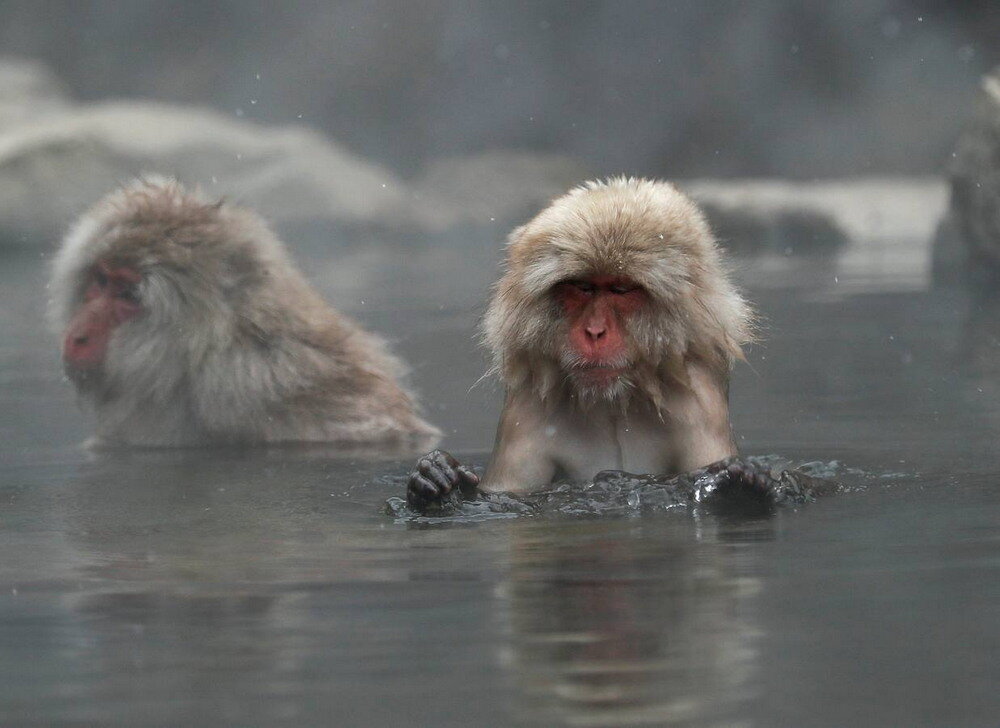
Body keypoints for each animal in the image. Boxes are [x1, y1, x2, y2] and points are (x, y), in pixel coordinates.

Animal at [406, 177, 756, 510]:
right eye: (583, 287)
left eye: (620, 289)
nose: (595, 331)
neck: (616, 400)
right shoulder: (525, 411)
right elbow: (505, 495)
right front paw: (436, 477)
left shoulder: (700, 403)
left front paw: (740, 484)